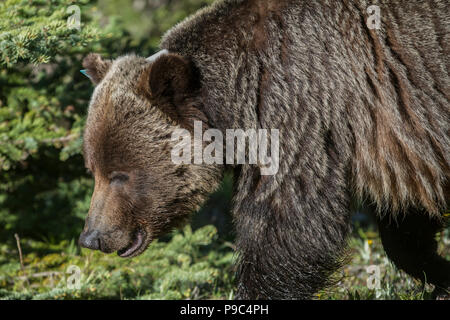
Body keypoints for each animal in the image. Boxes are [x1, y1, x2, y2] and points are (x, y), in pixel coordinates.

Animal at [79, 0, 448, 300]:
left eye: (120, 175)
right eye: (93, 170)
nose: (91, 237)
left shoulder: (301, 110)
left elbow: (287, 225)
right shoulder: (398, 145)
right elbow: (404, 222)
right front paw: (437, 270)